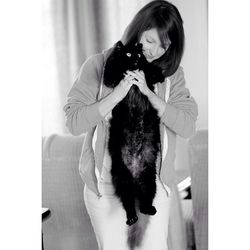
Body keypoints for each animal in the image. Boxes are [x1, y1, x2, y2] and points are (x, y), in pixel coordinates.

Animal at [102, 40, 165, 226]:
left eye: (137, 54)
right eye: (128, 54)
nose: (135, 60)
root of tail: (135, 179)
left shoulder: (147, 75)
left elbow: (150, 71)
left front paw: (158, 72)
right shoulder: (110, 77)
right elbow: (113, 68)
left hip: (149, 181)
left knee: (145, 203)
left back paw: (149, 210)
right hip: (122, 182)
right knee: (129, 204)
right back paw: (131, 218)